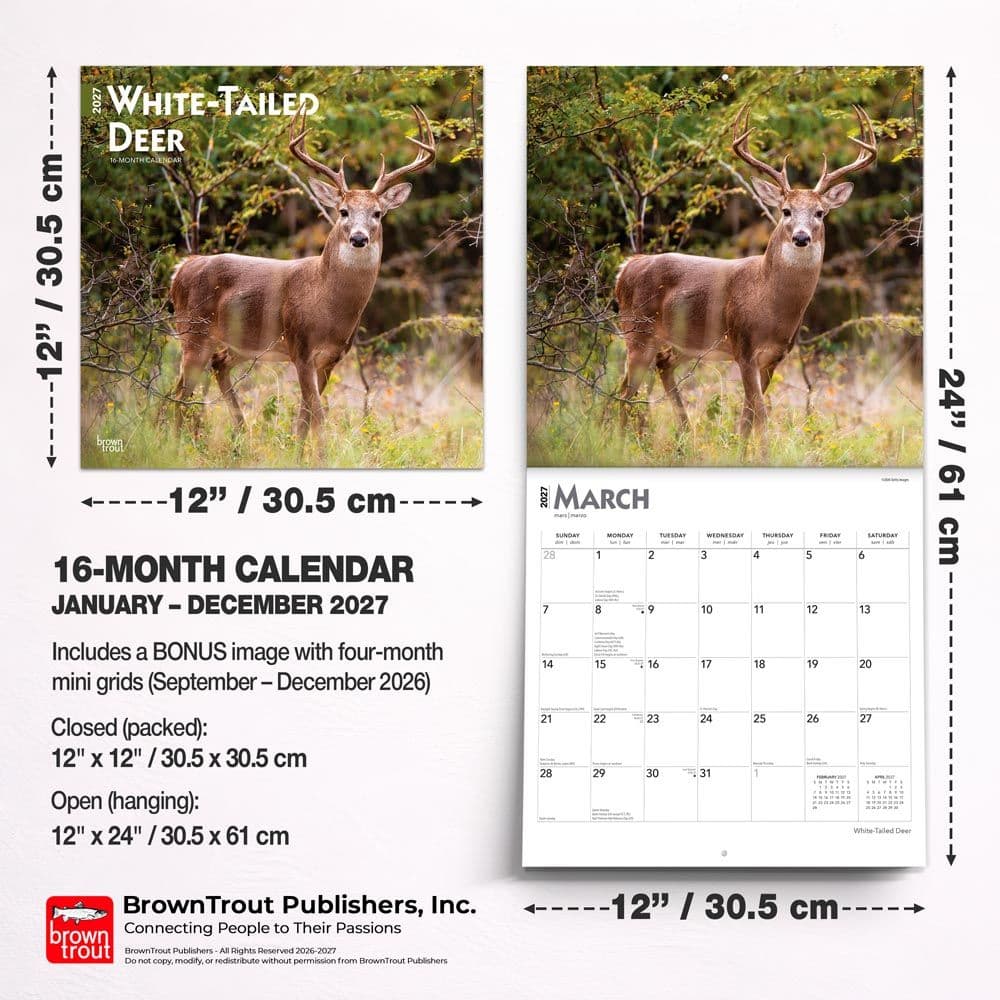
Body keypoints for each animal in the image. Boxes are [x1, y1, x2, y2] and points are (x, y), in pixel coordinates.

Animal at [168, 105, 436, 448]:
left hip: (238, 343)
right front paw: (320, 454)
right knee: (179, 393)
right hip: (193, 332)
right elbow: (317, 415)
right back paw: (175, 444)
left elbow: (304, 418)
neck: (325, 301)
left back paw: (239, 435)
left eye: (377, 213)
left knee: (215, 367)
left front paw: (297, 452)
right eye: (344, 211)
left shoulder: (331, 357)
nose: (359, 238)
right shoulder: (301, 347)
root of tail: (182, 268)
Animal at [613, 104, 877, 452]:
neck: (768, 300)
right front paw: (763, 454)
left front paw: (741, 451)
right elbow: (760, 413)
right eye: (785, 210)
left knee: (661, 366)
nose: (802, 237)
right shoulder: (744, 345)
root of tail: (626, 267)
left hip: (684, 341)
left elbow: (748, 414)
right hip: (637, 331)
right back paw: (616, 442)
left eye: (820, 213)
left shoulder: (774, 356)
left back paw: (684, 434)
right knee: (623, 392)